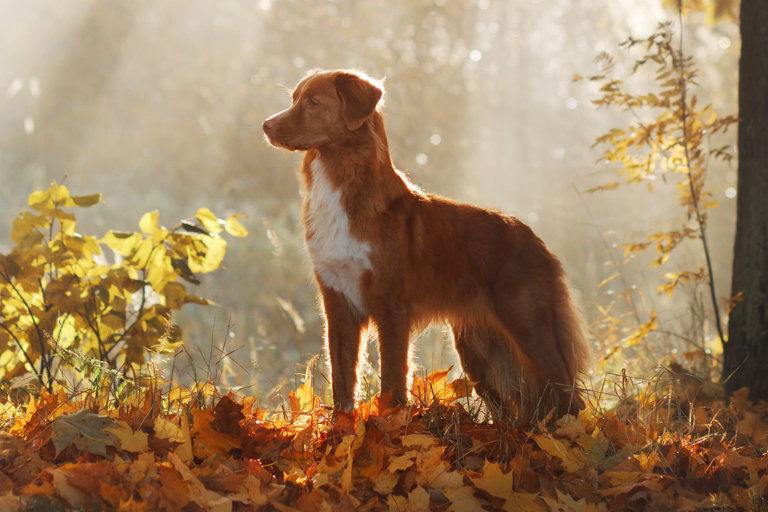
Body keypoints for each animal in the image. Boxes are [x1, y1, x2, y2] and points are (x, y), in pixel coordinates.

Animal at [264, 69, 588, 420]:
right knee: (515, 406)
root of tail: (538, 242)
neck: (342, 186)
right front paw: (342, 427)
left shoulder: (391, 307)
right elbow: (342, 380)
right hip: (477, 351)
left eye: (313, 103)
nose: (266, 125)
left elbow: (392, 380)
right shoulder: (337, 304)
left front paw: (387, 425)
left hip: (529, 328)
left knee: (569, 398)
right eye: (294, 99)